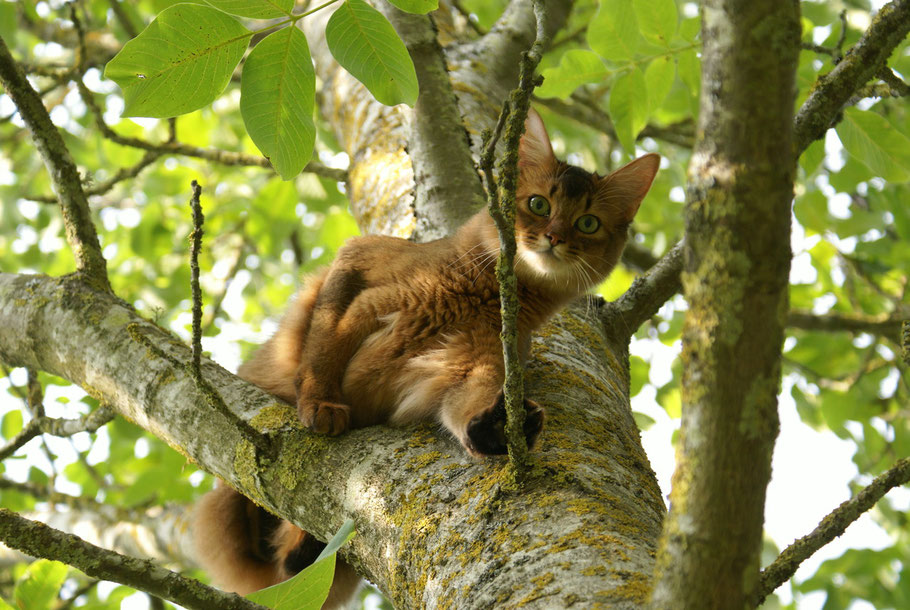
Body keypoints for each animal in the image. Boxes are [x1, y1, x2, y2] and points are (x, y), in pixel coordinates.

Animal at [196, 108, 660, 604]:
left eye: (588, 223)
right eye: (538, 204)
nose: (553, 238)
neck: (477, 298)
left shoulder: (471, 364)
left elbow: (462, 406)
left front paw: (497, 425)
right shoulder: (357, 267)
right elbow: (325, 346)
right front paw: (321, 405)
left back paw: (304, 549)